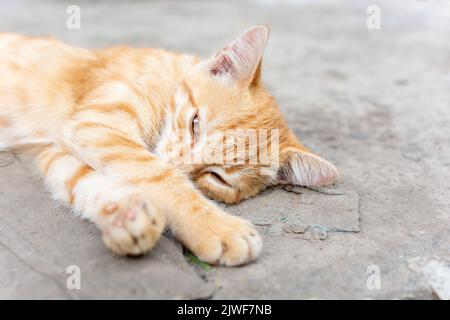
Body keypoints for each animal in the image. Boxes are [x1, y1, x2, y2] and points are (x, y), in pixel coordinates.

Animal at [0, 26, 338, 264]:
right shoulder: (96, 124)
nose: (177, 164)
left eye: (216, 177)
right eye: (195, 123)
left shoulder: (59, 149)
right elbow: (160, 177)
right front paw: (217, 228)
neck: (168, 79)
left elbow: (88, 182)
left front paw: (128, 217)